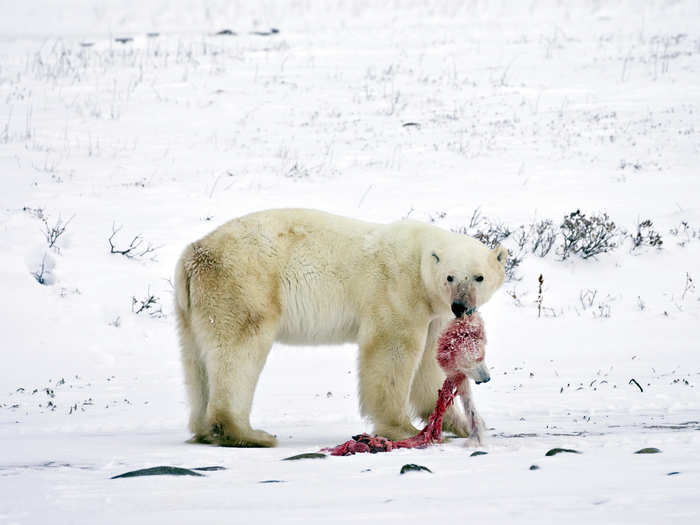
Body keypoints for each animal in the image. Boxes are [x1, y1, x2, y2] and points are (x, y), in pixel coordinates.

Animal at [174, 209, 504, 446]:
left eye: (479, 277)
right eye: (450, 276)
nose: (461, 306)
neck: (419, 257)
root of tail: (193, 253)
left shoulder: (433, 313)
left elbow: (428, 366)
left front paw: (460, 423)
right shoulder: (397, 290)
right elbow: (391, 351)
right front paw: (403, 428)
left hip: (192, 307)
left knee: (196, 362)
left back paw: (204, 429)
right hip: (243, 285)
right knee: (239, 352)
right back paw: (247, 434)